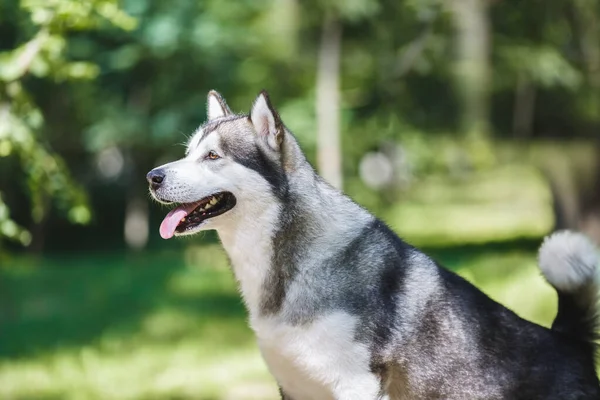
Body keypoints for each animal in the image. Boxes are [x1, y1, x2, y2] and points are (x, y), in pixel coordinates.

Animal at [146, 90, 600, 400]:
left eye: (212, 156)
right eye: (188, 153)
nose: (152, 176)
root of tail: (568, 340)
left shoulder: (355, 384)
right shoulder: (294, 387)